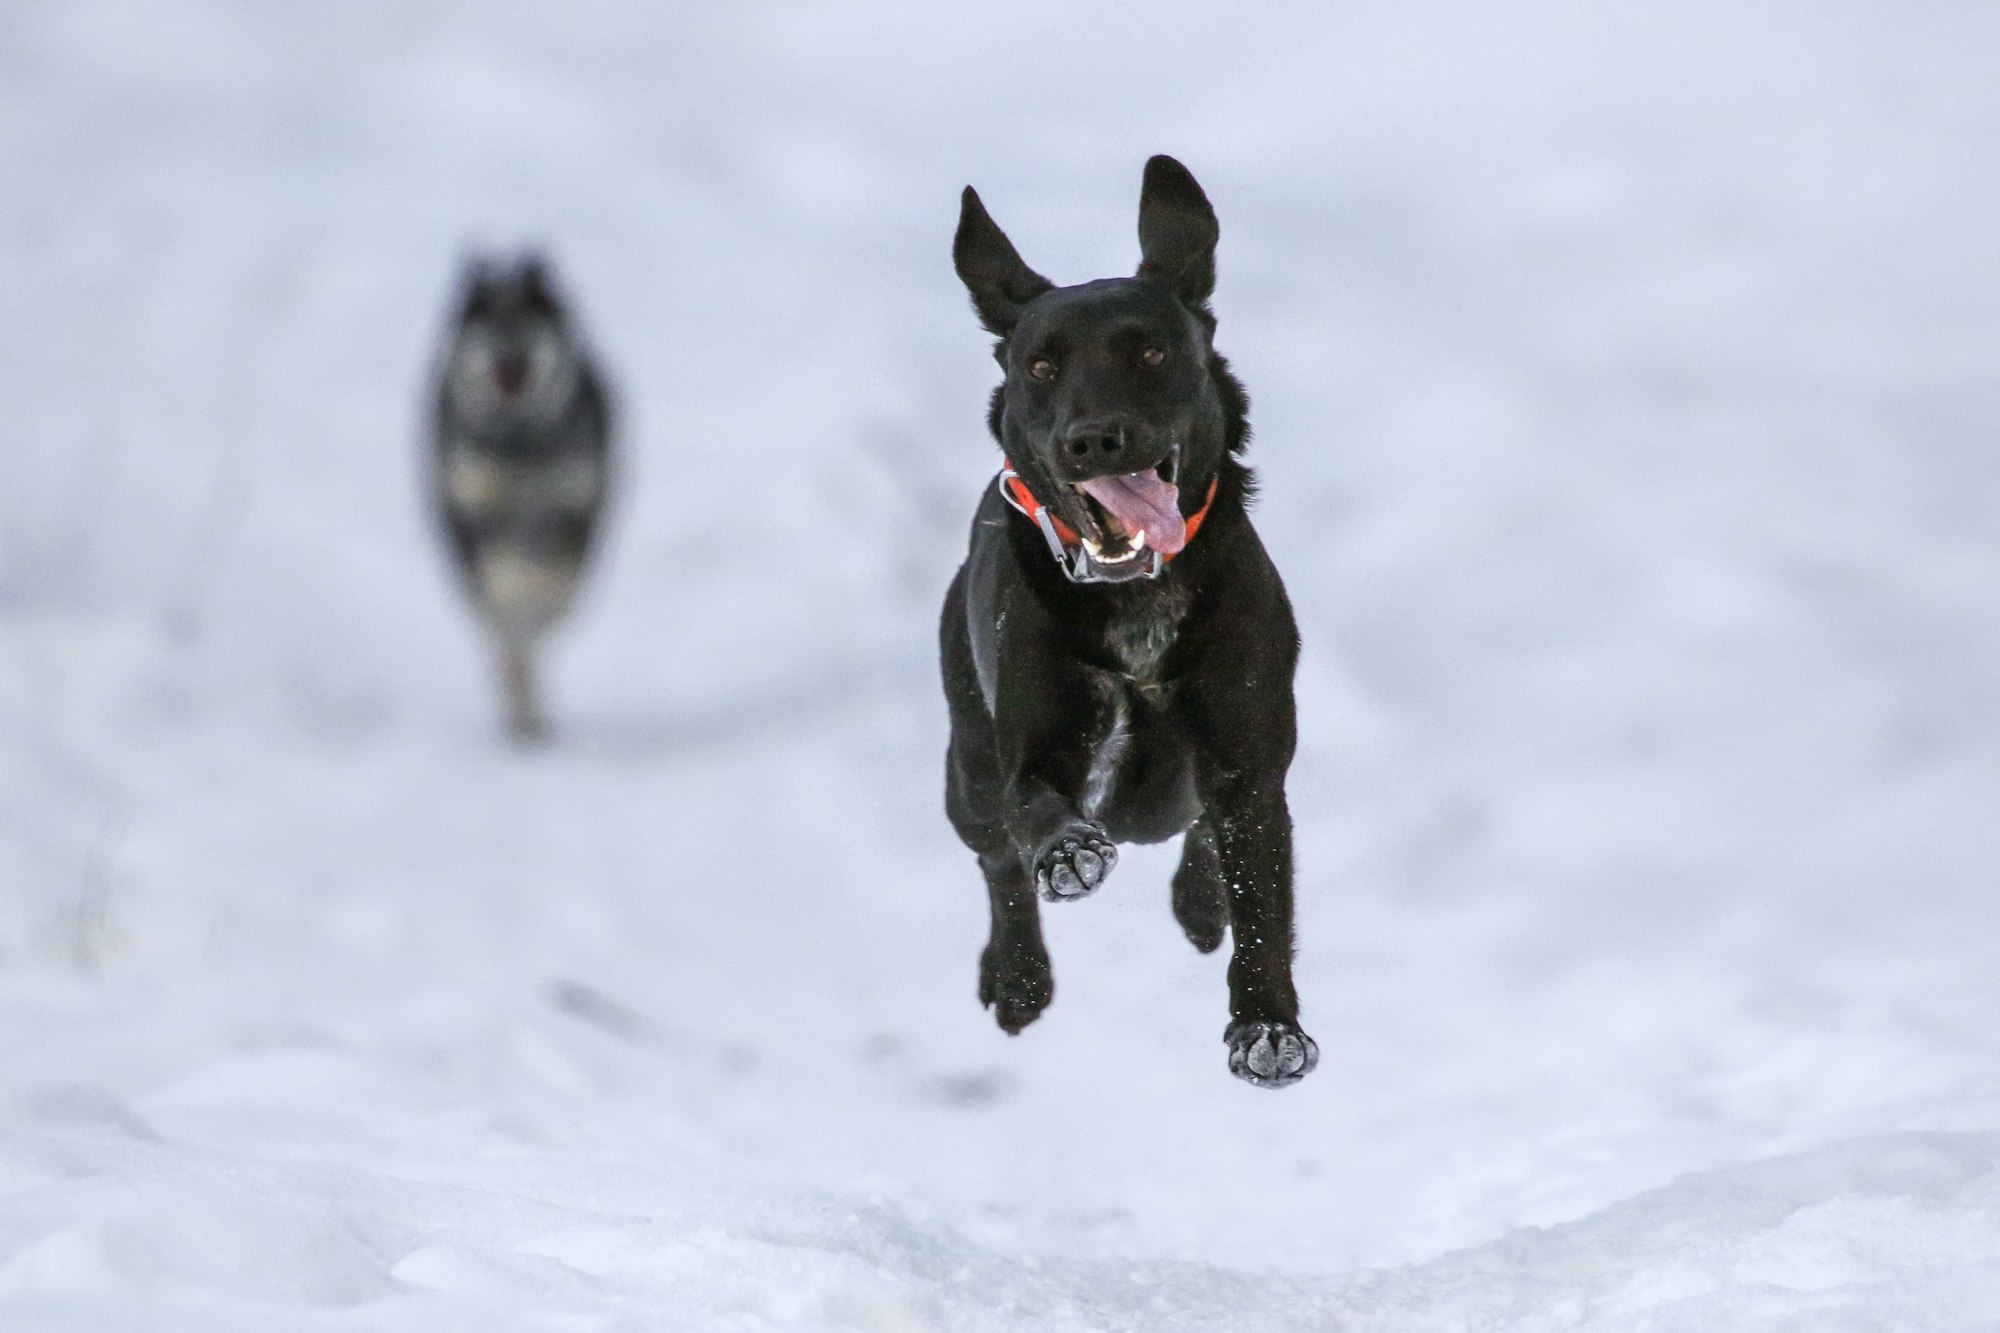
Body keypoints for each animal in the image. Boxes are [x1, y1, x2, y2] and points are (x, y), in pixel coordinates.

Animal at [424, 254, 604, 740]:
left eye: (529, 320)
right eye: (485, 323)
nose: (509, 355)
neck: (518, 442)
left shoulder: (572, 504)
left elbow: (549, 581)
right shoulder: (475, 505)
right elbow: (504, 585)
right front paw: (514, 592)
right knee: (505, 645)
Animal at [944, 158, 1320, 1088]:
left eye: (1151, 351)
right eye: (1042, 365)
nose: (1094, 439)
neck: (1134, 601)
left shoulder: (1249, 756)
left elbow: (1261, 891)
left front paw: (1268, 1027)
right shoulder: (1027, 745)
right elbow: (1036, 808)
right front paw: (1070, 853)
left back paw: (1198, 904)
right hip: (965, 769)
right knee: (995, 856)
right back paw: (1018, 976)